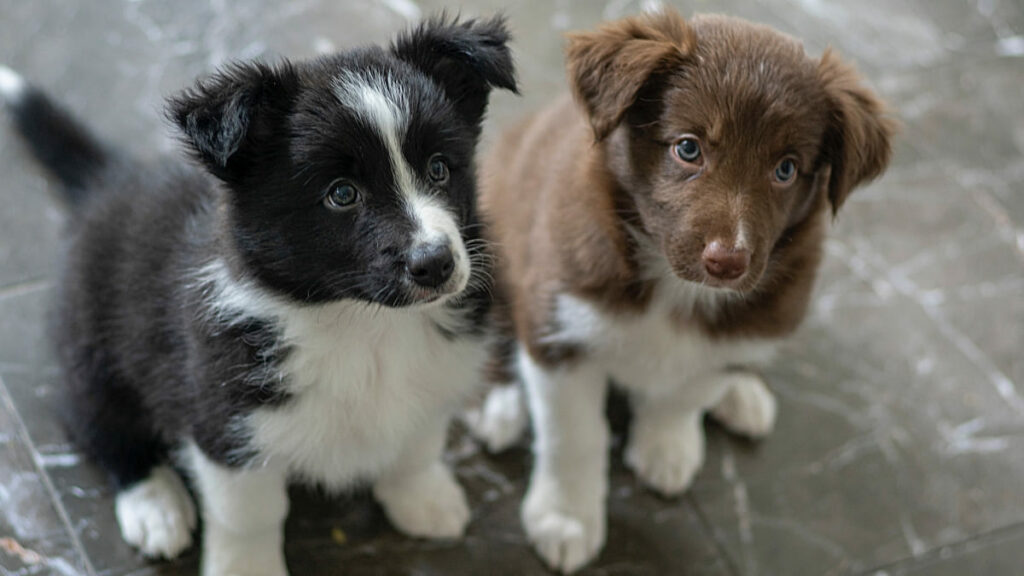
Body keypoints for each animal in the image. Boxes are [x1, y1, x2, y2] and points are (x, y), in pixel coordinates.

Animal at [0, 15, 512, 569]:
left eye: (440, 168)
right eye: (342, 194)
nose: (436, 263)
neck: (361, 322)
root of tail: (111, 180)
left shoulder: (438, 372)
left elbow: (417, 442)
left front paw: (425, 499)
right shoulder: (225, 415)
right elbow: (250, 515)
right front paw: (246, 566)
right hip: (93, 349)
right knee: (98, 424)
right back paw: (155, 506)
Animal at [468, 10, 897, 573]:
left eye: (785, 168)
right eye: (688, 148)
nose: (727, 262)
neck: (673, 286)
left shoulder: (743, 323)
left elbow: (688, 389)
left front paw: (666, 446)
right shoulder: (559, 324)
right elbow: (573, 436)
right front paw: (566, 519)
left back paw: (743, 391)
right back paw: (497, 405)